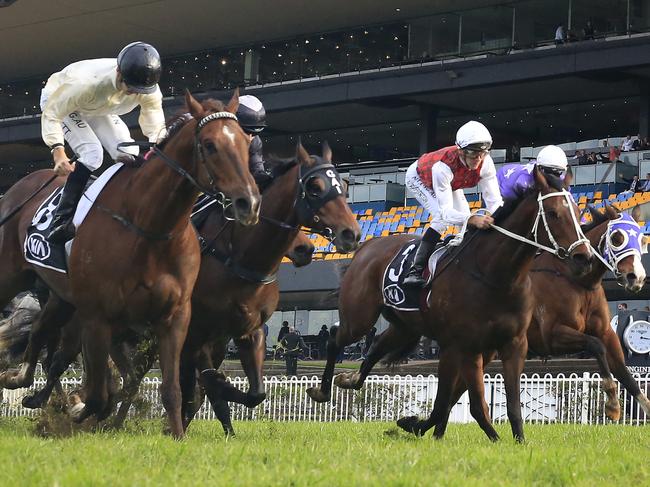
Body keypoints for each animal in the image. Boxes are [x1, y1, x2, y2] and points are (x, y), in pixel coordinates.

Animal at [0, 90, 258, 438]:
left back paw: (22, 378)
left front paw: (177, 435)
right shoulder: (97, 317)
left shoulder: (175, 316)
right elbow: (98, 394)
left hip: (61, 295)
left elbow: (170, 389)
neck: (150, 226)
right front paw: (78, 408)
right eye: (209, 145)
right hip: (11, 276)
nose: (249, 203)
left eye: (245, 142)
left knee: (41, 332)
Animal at [306, 170, 588, 444]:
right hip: (359, 317)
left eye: (577, 211)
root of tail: (369, 244)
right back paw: (322, 390)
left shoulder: (512, 344)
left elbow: (510, 404)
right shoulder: (462, 346)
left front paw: (519, 442)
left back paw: (351, 379)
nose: (583, 256)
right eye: (553, 213)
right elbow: (464, 404)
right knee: (336, 336)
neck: (494, 276)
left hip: (405, 327)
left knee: (376, 345)